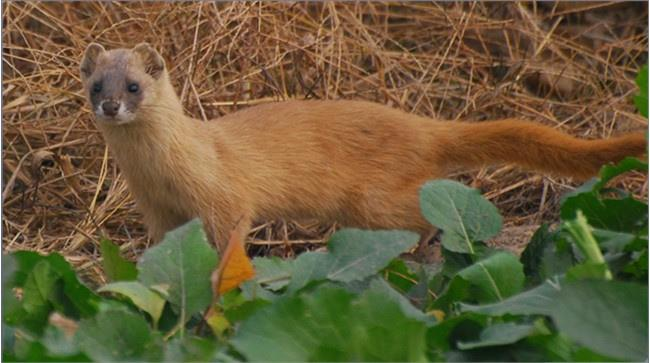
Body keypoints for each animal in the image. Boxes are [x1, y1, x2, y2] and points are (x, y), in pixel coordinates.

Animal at [79, 43, 644, 250]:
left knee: (423, 210)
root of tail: (422, 126)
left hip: (372, 199)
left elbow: (231, 236)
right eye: (95, 84)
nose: (110, 105)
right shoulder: (155, 209)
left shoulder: (225, 196)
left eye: (134, 85)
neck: (160, 173)